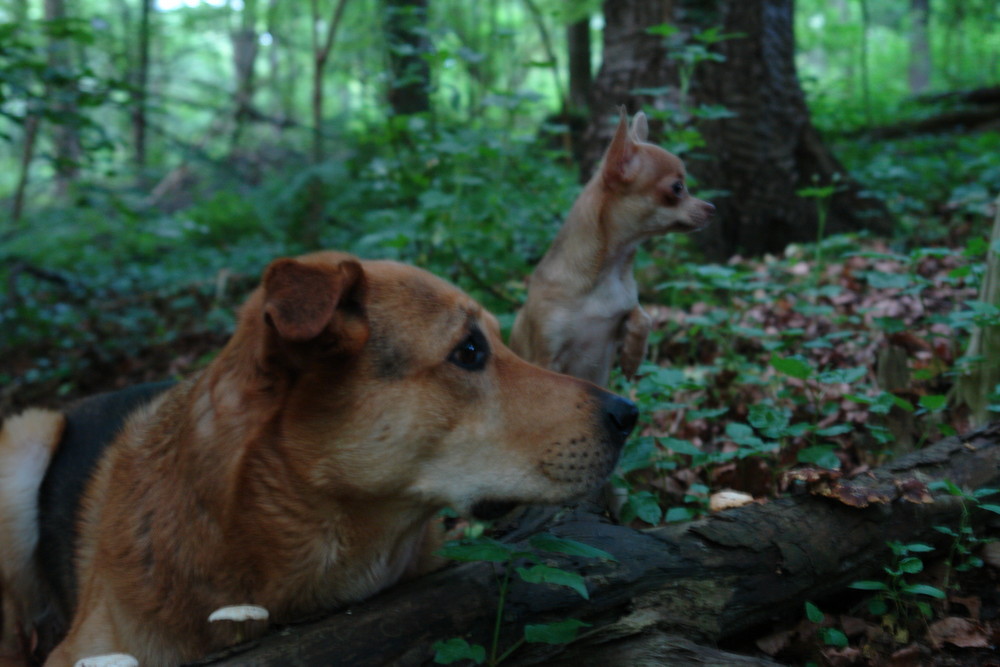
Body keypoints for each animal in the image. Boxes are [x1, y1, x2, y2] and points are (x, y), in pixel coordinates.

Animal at [512, 111, 716, 386]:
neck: (609, 272)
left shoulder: (621, 316)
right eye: (677, 188)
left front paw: (632, 355)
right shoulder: (545, 357)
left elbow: (643, 316)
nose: (712, 208)